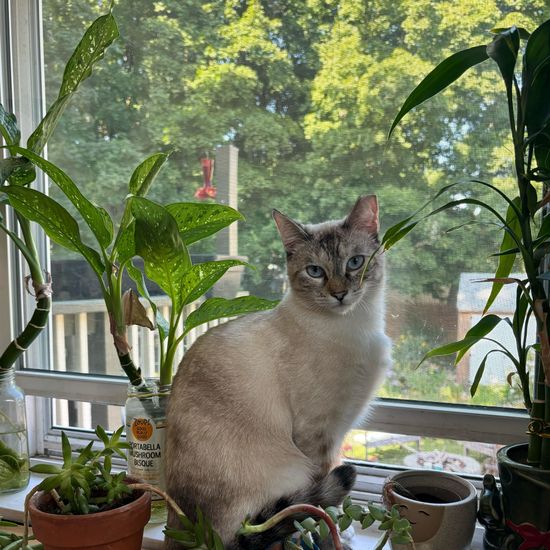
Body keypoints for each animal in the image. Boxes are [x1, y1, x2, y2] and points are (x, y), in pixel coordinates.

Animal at [165, 196, 392, 548]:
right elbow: (321, 503)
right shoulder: (318, 433)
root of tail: (198, 534)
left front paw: (343, 531)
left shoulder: (340, 430)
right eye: (315, 271)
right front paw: (332, 536)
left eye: (355, 263)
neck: (356, 327)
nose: (339, 294)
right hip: (290, 471)